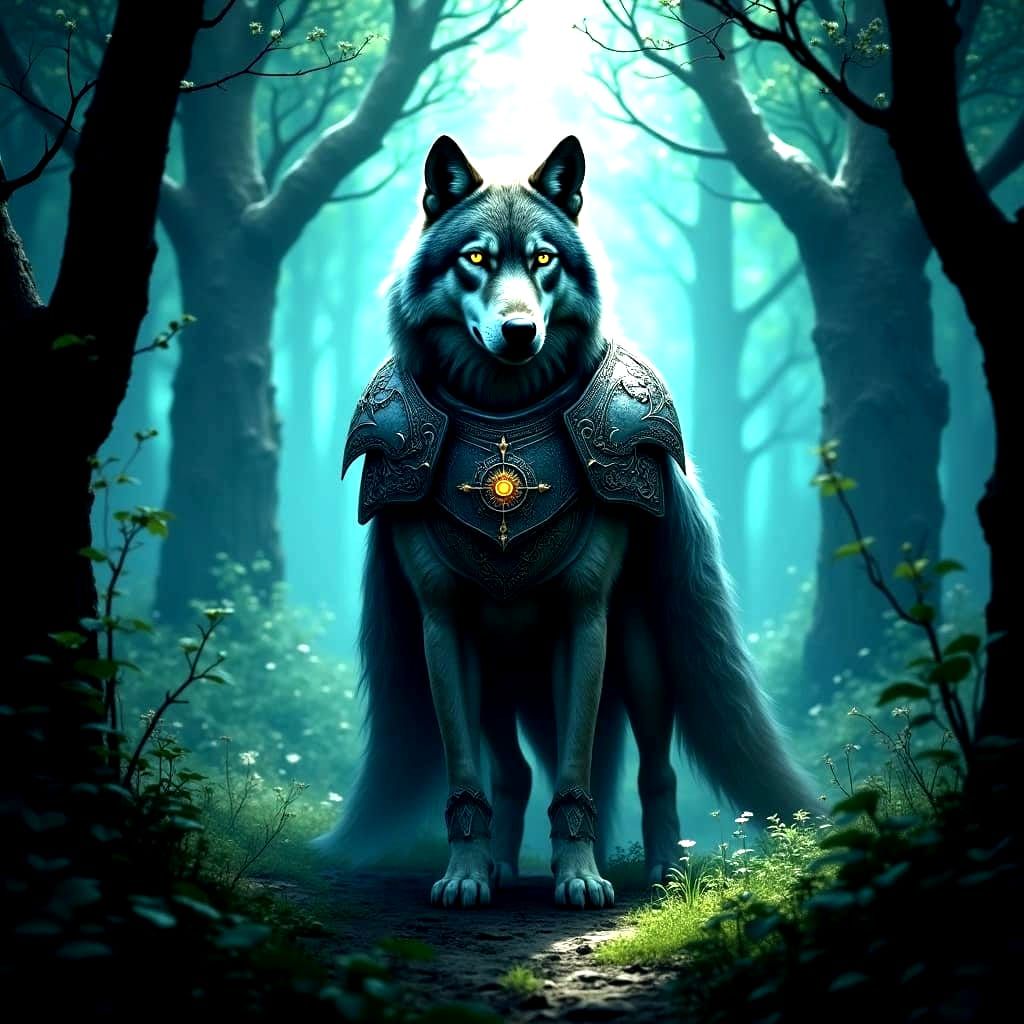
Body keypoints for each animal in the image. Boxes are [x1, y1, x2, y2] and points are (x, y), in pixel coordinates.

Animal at [317, 135, 814, 909]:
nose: (520, 331)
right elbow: (468, 777)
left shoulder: (585, 619)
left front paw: (580, 876)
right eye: (478, 257)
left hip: (638, 653)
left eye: (544, 258)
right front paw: (465, 875)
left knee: (655, 768)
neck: (503, 415)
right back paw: (498, 867)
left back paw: (662, 871)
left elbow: (580, 771)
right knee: (514, 772)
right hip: (494, 675)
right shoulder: (442, 622)